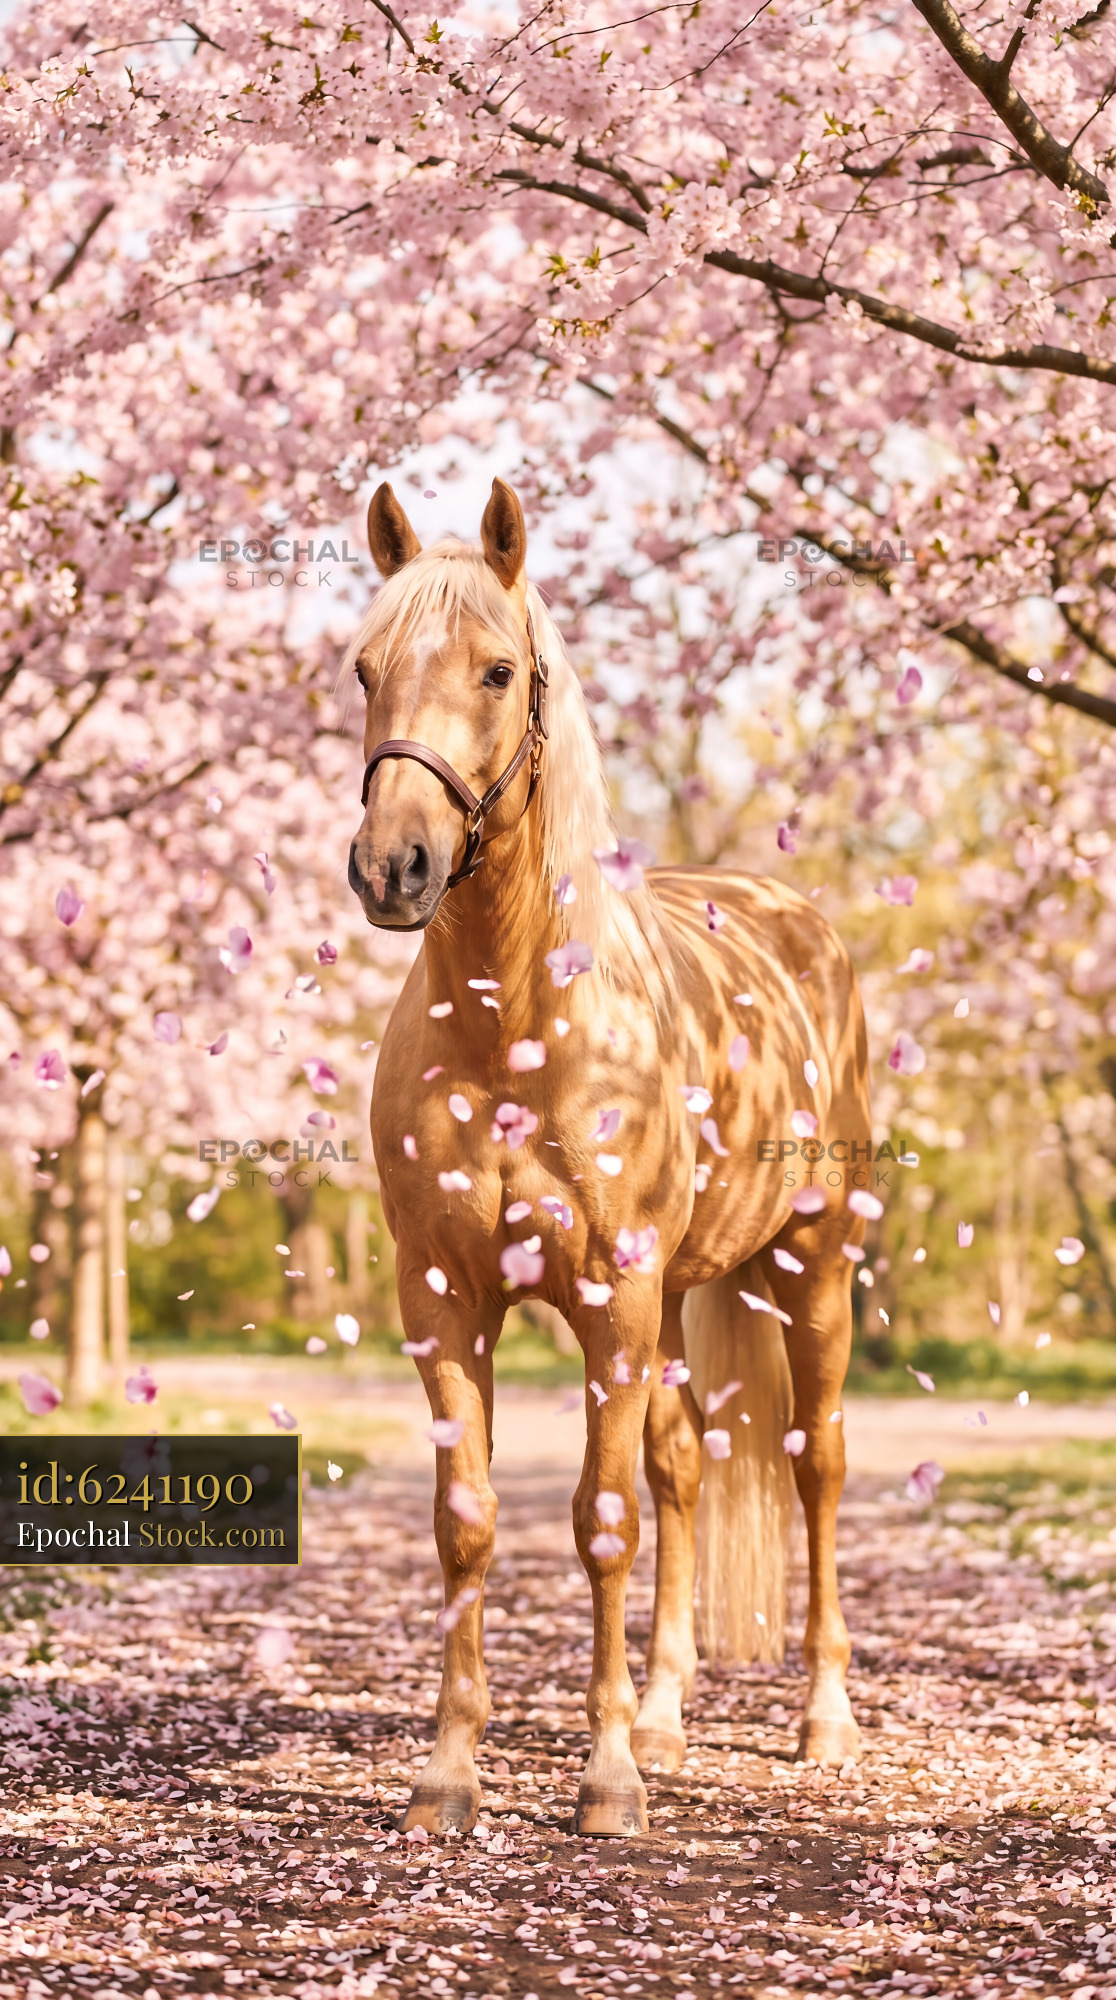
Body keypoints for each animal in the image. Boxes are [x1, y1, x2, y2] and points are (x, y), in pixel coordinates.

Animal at [345, 477, 871, 1840]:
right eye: (364, 667)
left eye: (497, 669)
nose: (392, 868)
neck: (515, 1022)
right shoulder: (446, 1300)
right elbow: (471, 1522)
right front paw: (449, 1773)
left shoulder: (612, 1298)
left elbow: (603, 1517)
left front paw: (609, 1777)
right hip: (678, 1302)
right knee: (686, 1469)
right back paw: (674, 1715)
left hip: (811, 1271)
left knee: (817, 1467)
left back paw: (822, 1720)